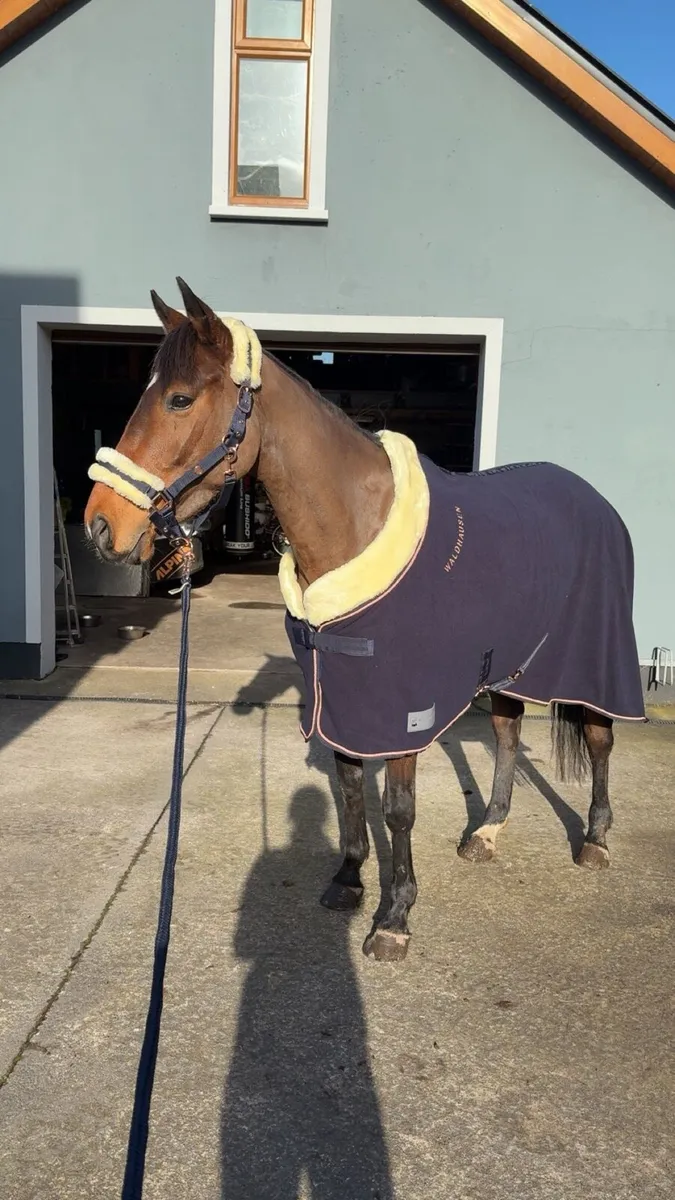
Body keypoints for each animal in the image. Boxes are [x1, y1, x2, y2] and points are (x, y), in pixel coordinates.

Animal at [85, 278, 645, 963]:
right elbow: (350, 787)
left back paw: (595, 840)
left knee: (599, 738)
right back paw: (487, 832)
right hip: (511, 661)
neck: (359, 525)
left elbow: (397, 808)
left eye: (180, 398)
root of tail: (597, 503)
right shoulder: (342, 693)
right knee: (509, 734)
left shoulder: (402, 708)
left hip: (592, 659)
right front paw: (349, 881)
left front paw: (395, 917)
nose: (101, 525)